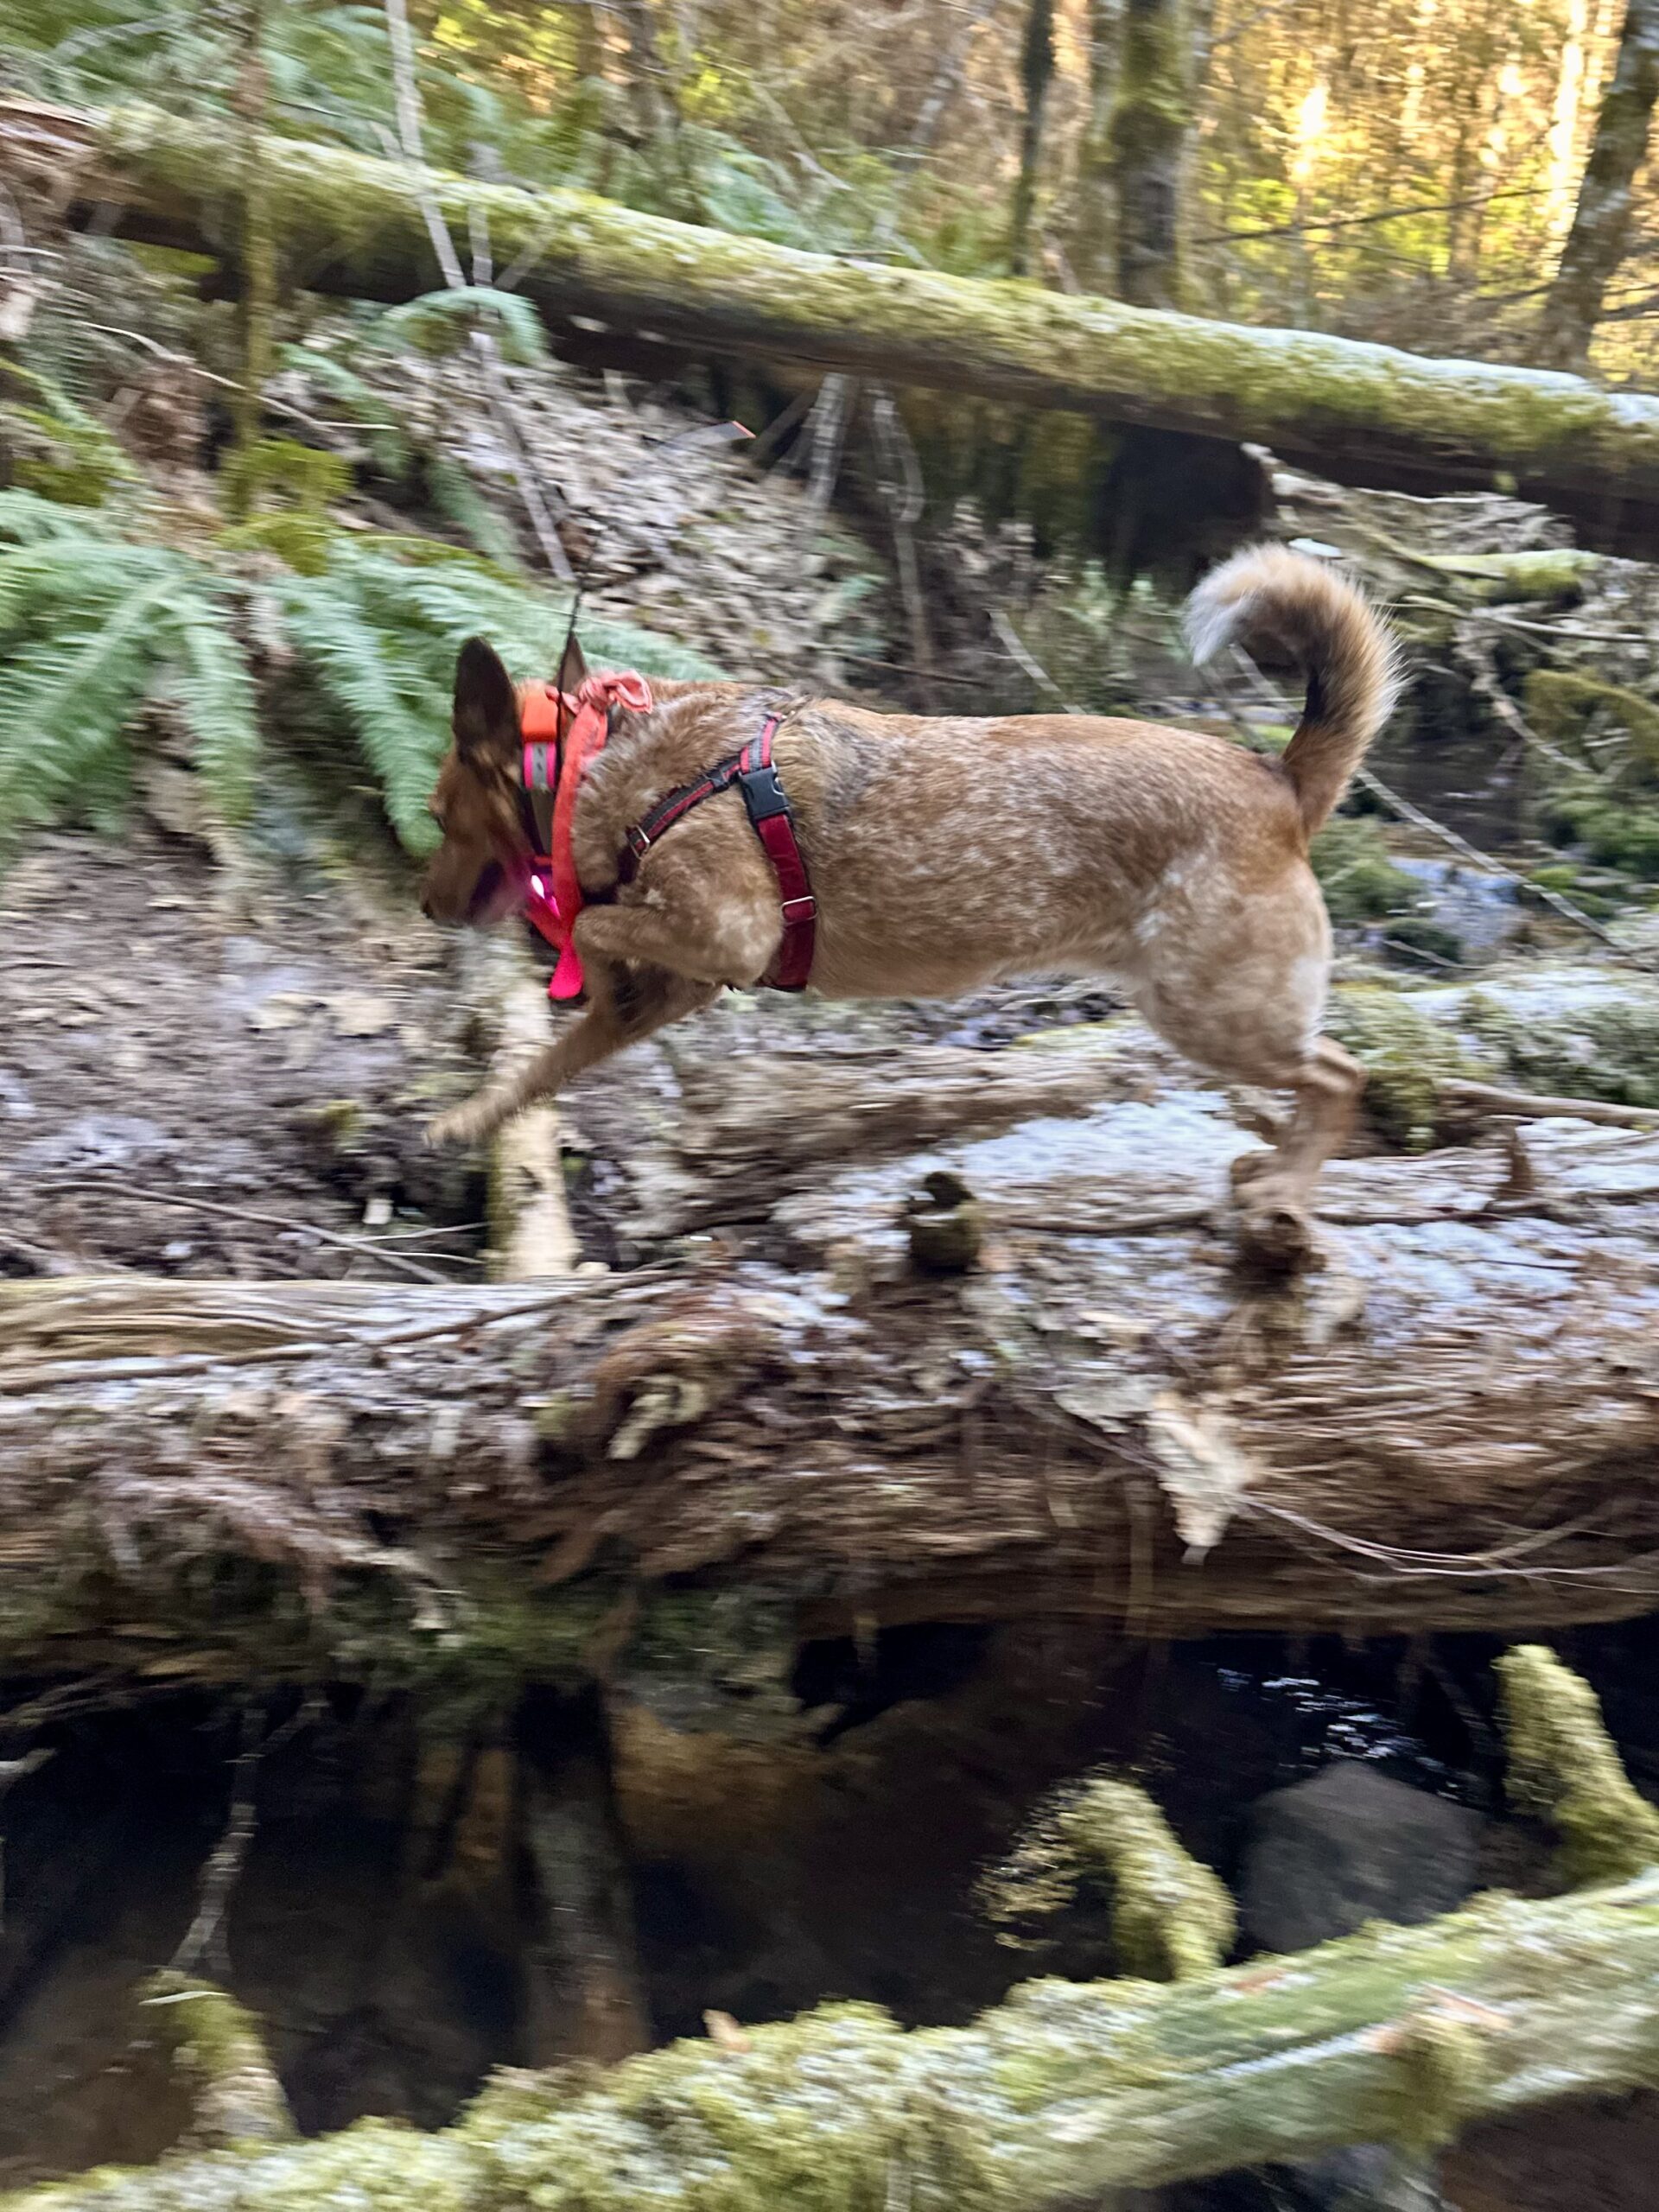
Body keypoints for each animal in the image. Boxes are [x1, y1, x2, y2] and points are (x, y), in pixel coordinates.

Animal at [422, 546, 1397, 1256]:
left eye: (436, 815)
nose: (426, 907)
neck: (595, 763)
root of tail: (1277, 778)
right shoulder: (675, 984)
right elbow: (539, 1067)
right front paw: (470, 1118)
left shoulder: (728, 933)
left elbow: (589, 923)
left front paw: (585, 963)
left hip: (1215, 1011)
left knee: (1341, 1073)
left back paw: (1286, 1186)